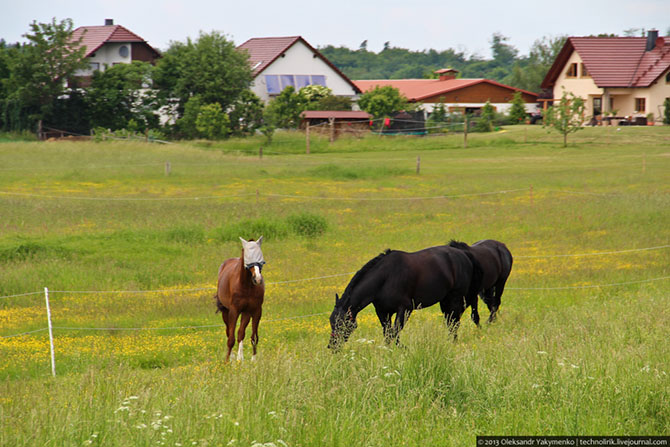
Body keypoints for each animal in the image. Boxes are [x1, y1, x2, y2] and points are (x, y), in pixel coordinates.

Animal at [330, 245, 484, 350]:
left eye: (341, 323)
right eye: (331, 322)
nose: (332, 346)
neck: (386, 278)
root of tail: (464, 254)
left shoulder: (404, 309)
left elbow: (394, 332)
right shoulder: (382, 312)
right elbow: (388, 333)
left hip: (455, 298)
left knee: (455, 322)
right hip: (445, 301)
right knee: (451, 322)